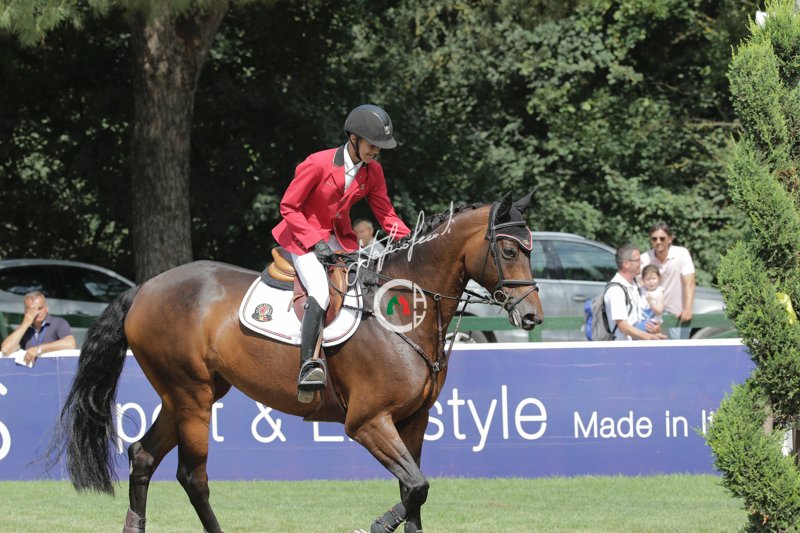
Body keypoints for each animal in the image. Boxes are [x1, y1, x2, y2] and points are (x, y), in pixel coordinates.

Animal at [49, 192, 544, 533]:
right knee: (192, 476)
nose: (532, 316)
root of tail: (143, 289)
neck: (402, 308)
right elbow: (417, 487)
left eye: (531, 249)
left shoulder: (414, 421)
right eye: (510, 251)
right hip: (191, 396)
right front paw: (375, 525)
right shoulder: (368, 422)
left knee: (143, 457)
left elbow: (414, 493)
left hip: (188, 394)